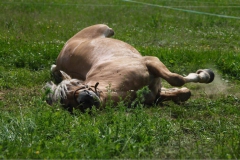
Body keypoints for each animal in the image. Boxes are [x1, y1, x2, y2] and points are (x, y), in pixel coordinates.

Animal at [44, 24, 214, 112]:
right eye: (66, 103)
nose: (85, 99)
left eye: (77, 83)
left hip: (106, 28)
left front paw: (204, 74)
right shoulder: (155, 93)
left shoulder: (151, 61)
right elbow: (182, 91)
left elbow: (176, 79)